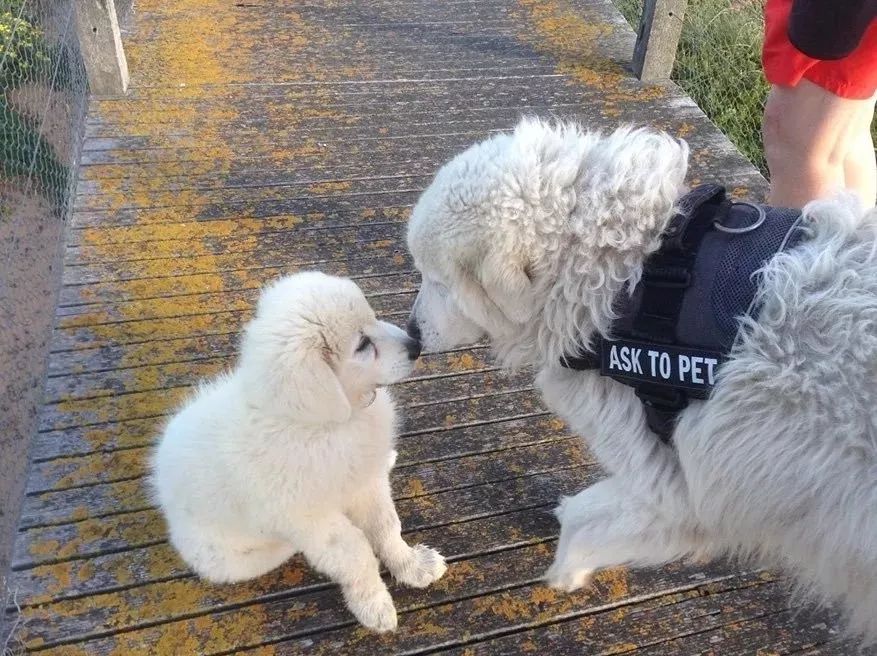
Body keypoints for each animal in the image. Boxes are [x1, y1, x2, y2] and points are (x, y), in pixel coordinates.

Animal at [150, 270, 444, 632]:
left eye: (373, 317)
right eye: (362, 345)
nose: (417, 347)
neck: (329, 422)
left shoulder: (365, 482)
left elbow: (386, 526)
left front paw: (413, 566)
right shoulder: (313, 521)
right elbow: (356, 552)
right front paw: (374, 606)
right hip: (234, 559)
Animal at [404, 118, 876, 640]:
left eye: (436, 280)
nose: (411, 334)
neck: (626, 274)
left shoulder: (677, 490)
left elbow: (586, 521)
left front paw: (566, 573)